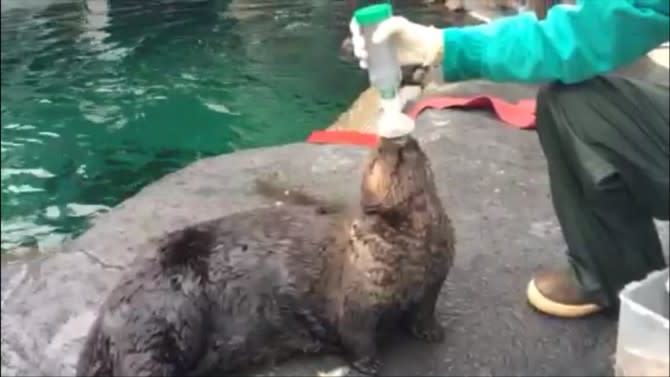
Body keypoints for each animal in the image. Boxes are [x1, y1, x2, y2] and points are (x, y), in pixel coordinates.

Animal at [76, 136, 460, 376]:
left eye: (405, 147)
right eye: (383, 161)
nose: (399, 141)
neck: (413, 252)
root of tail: (104, 319)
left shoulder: (435, 277)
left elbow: (425, 309)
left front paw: (432, 331)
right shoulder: (359, 296)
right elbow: (356, 331)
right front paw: (369, 364)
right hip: (160, 319)